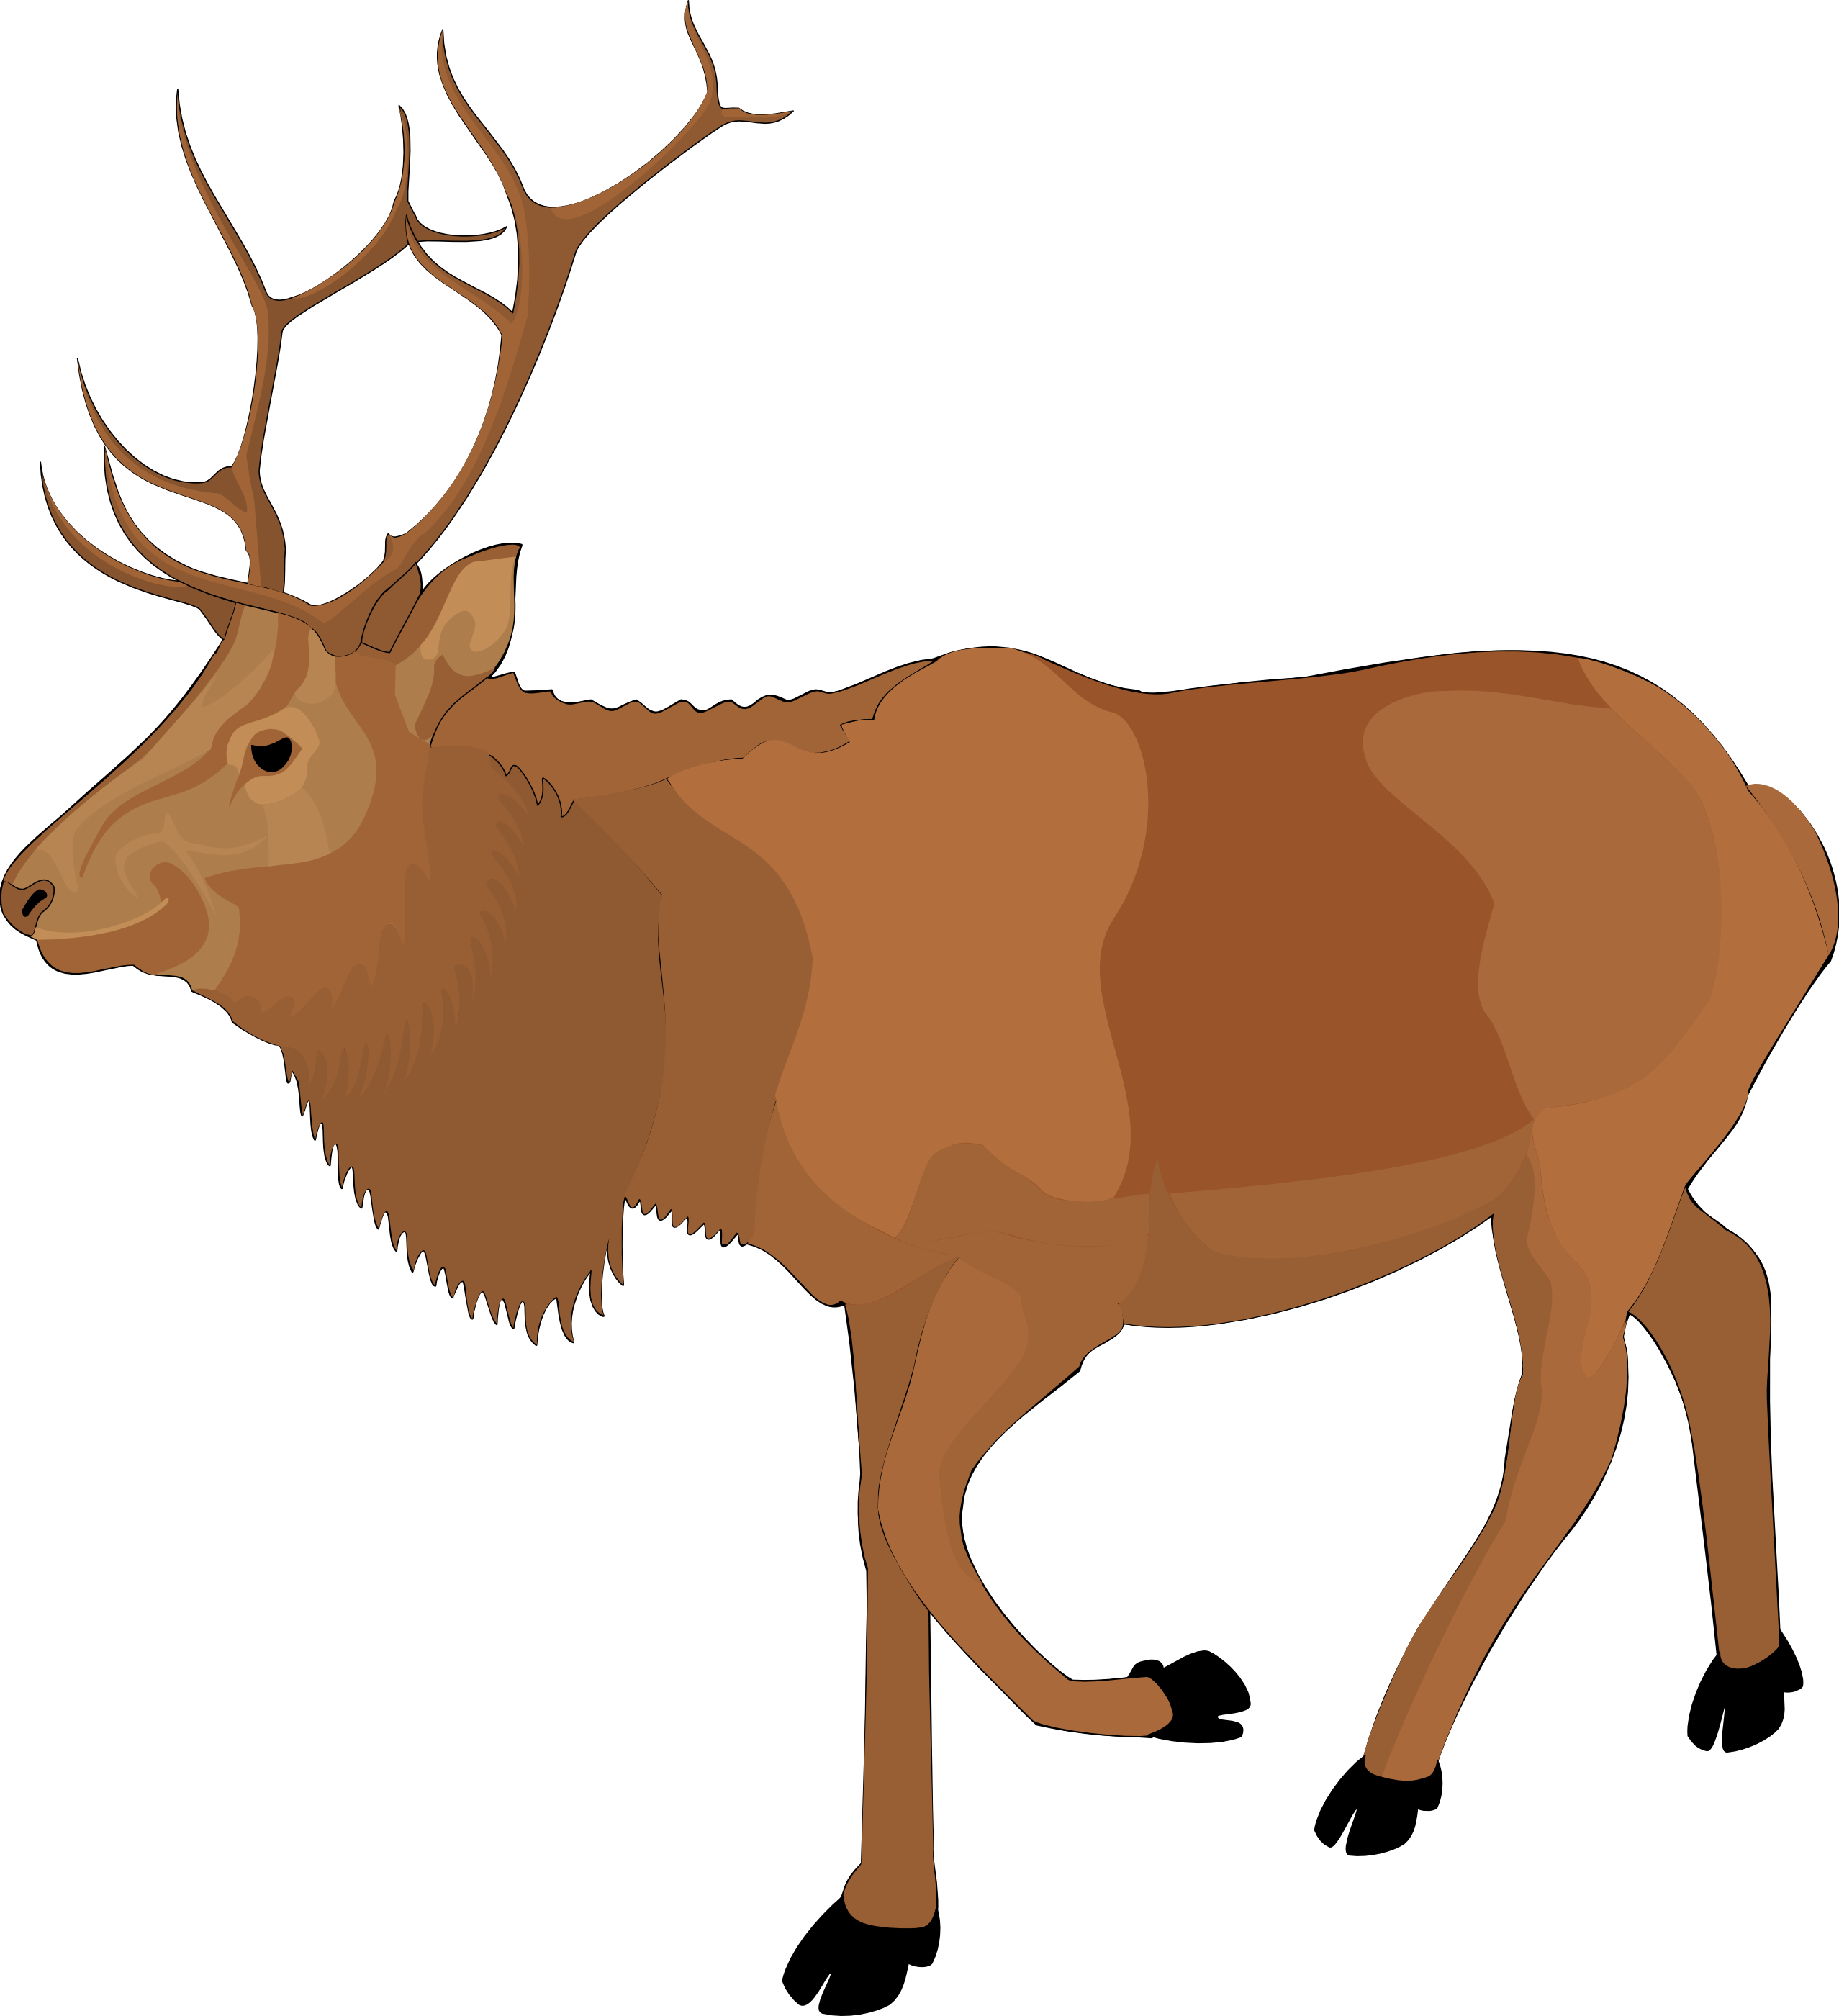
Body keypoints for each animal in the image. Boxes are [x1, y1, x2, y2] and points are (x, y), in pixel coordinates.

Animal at [4, 12, 1830, 2014]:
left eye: (273, 742)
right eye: (179, 695)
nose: (24, 886)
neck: (691, 1024)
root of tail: (1784, 833)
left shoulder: (1058, 1255)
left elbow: (911, 1522)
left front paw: (1177, 1685)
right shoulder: (868, 1281)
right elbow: (872, 1535)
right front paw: (878, 1918)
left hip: (1585, 1150)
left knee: (1566, 1412)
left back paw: (1386, 1763)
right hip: (1607, 1159)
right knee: (1727, 1287)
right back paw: (1744, 1674)